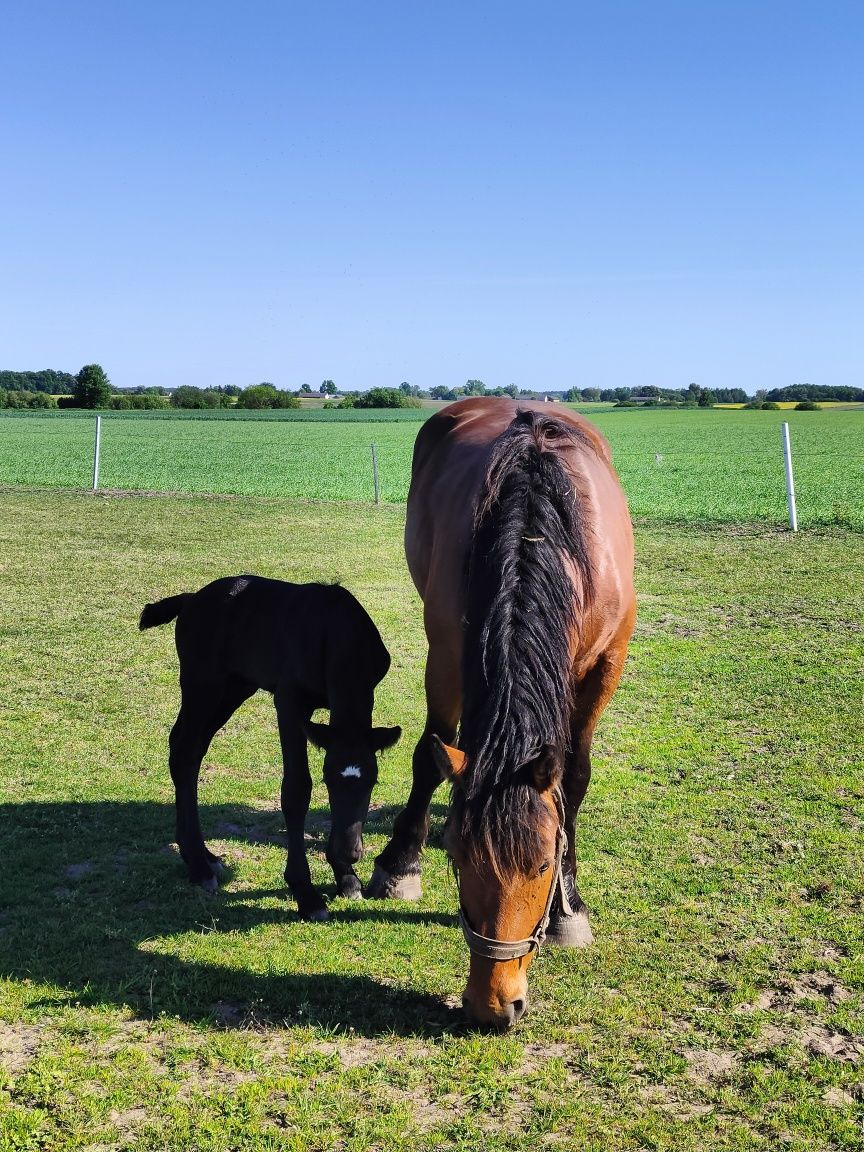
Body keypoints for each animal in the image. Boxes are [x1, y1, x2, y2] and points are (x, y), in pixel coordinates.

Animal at [140, 580, 400, 921]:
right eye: (328, 781)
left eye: (372, 782)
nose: (349, 852)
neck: (337, 631)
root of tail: (191, 599)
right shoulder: (289, 702)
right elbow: (297, 789)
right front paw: (306, 893)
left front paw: (346, 878)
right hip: (203, 685)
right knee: (184, 751)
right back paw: (198, 867)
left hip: (235, 687)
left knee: (188, 749)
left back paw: (203, 856)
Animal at [366, 400, 635, 1032]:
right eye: (463, 864)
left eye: (541, 867)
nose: (494, 1006)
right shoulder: (445, 653)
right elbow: (430, 753)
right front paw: (400, 865)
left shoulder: (608, 662)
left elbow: (574, 778)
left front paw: (569, 907)